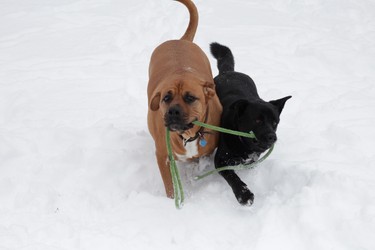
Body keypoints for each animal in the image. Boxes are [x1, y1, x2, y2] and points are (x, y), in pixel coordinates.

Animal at [148, 0, 223, 199]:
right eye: (166, 98)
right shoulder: (163, 157)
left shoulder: (206, 152)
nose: (173, 111)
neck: (188, 135)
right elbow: (170, 186)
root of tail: (180, 40)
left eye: (190, 98)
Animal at [210, 43, 292, 206]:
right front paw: (244, 194)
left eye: (275, 122)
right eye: (258, 120)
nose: (272, 137)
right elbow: (232, 175)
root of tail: (229, 71)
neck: (243, 144)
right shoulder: (221, 160)